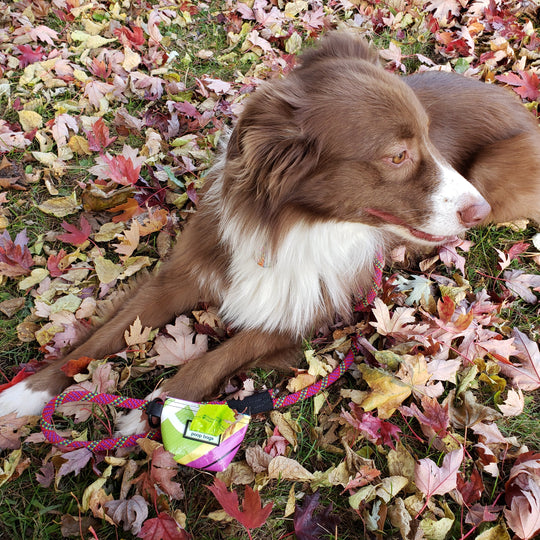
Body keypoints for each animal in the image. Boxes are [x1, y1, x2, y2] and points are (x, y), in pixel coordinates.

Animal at [1, 33, 536, 430]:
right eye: (398, 156)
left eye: (429, 137)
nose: (476, 209)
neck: (298, 224)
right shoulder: (182, 275)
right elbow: (98, 341)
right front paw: (28, 393)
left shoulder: (297, 316)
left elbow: (212, 359)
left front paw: (160, 409)